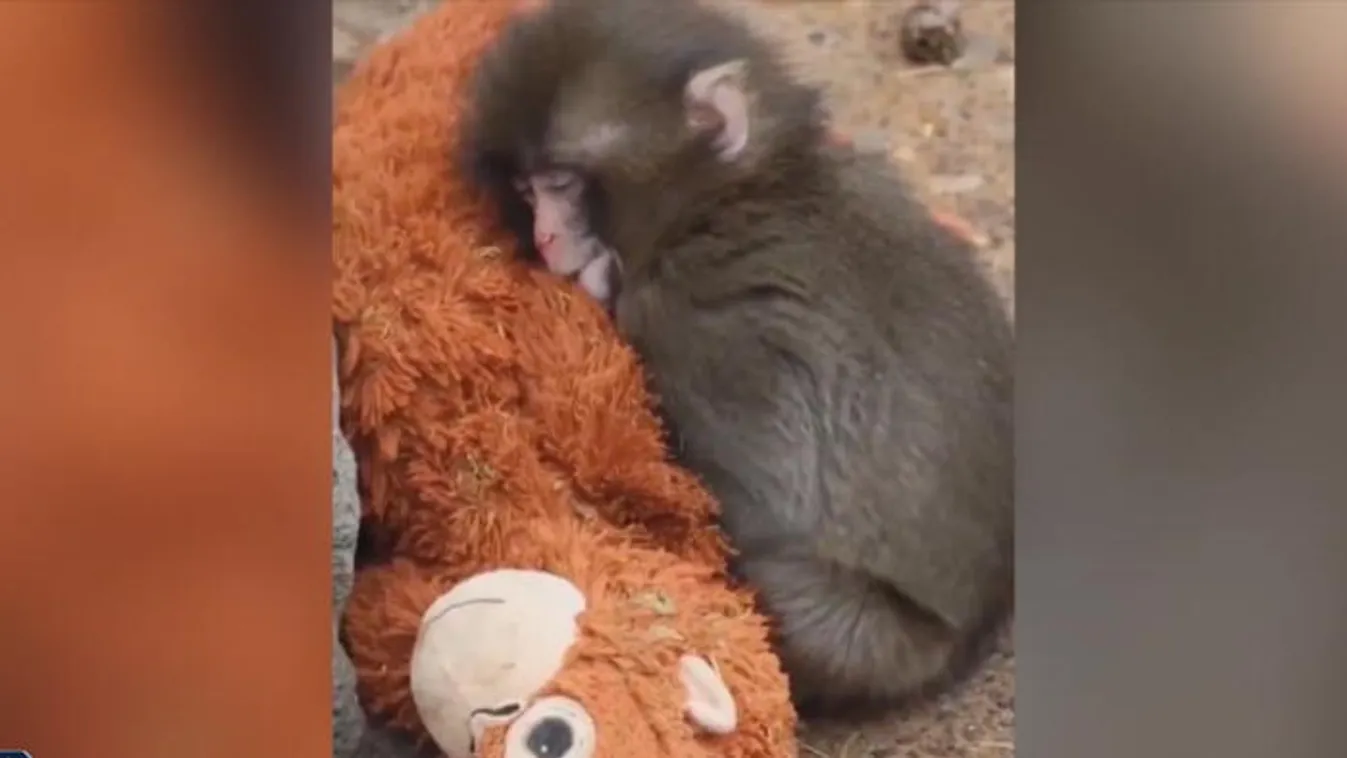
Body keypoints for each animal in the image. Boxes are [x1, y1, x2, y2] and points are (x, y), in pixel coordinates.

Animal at [460, 0, 1013, 718]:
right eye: (528, 191)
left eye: (563, 182)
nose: (546, 236)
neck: (731, 196)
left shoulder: (703, 325)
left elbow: (750, 506)